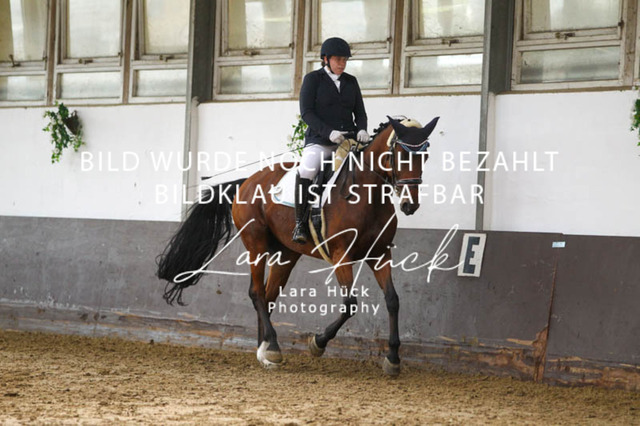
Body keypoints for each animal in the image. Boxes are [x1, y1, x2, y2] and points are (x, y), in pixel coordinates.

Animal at [157, 115, 439, 375]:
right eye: (399, 155)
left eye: (424, 156)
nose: (410, 205)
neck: (366, 194)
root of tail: (247, 181)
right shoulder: (341, 255)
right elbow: (349, 304)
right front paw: (318, 343)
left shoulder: (380, 255)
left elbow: (392, 300)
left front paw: (392, 358)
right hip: (256, 246)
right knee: (257, 293)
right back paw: (272, 348)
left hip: (286, 255)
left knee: (269, 296)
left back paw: (265, 351)